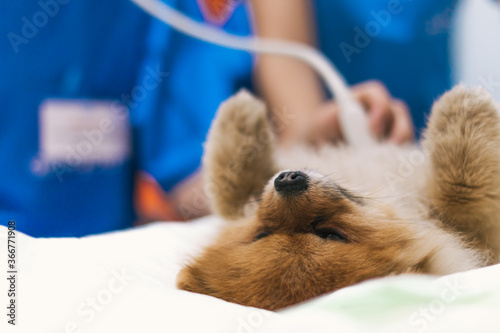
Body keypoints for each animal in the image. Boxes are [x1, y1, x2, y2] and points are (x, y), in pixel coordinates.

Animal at [176, 85, 500, 308]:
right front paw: (466, 104)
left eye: (261, 234)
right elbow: (464, 189)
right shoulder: (473, 229)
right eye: (331, 233)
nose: (288, 180)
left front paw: (238, 117)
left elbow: (230, 184)